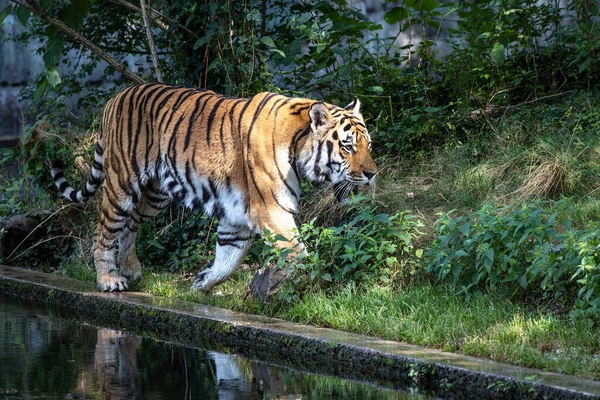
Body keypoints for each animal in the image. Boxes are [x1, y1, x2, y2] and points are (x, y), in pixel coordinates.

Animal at [52, 82, 380, 294]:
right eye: (348, 147)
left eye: (368, 145)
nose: (372, 174)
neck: (298, 147)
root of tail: (115, 97)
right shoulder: (271, 210)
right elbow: (298, 252)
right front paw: (298, 285)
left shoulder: (238, 217)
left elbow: (228, 259)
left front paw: (202, 281)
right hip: (122, 183)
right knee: (104, 231)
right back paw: (109, 280)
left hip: (156, 195)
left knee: (130, 223)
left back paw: (131, 267)